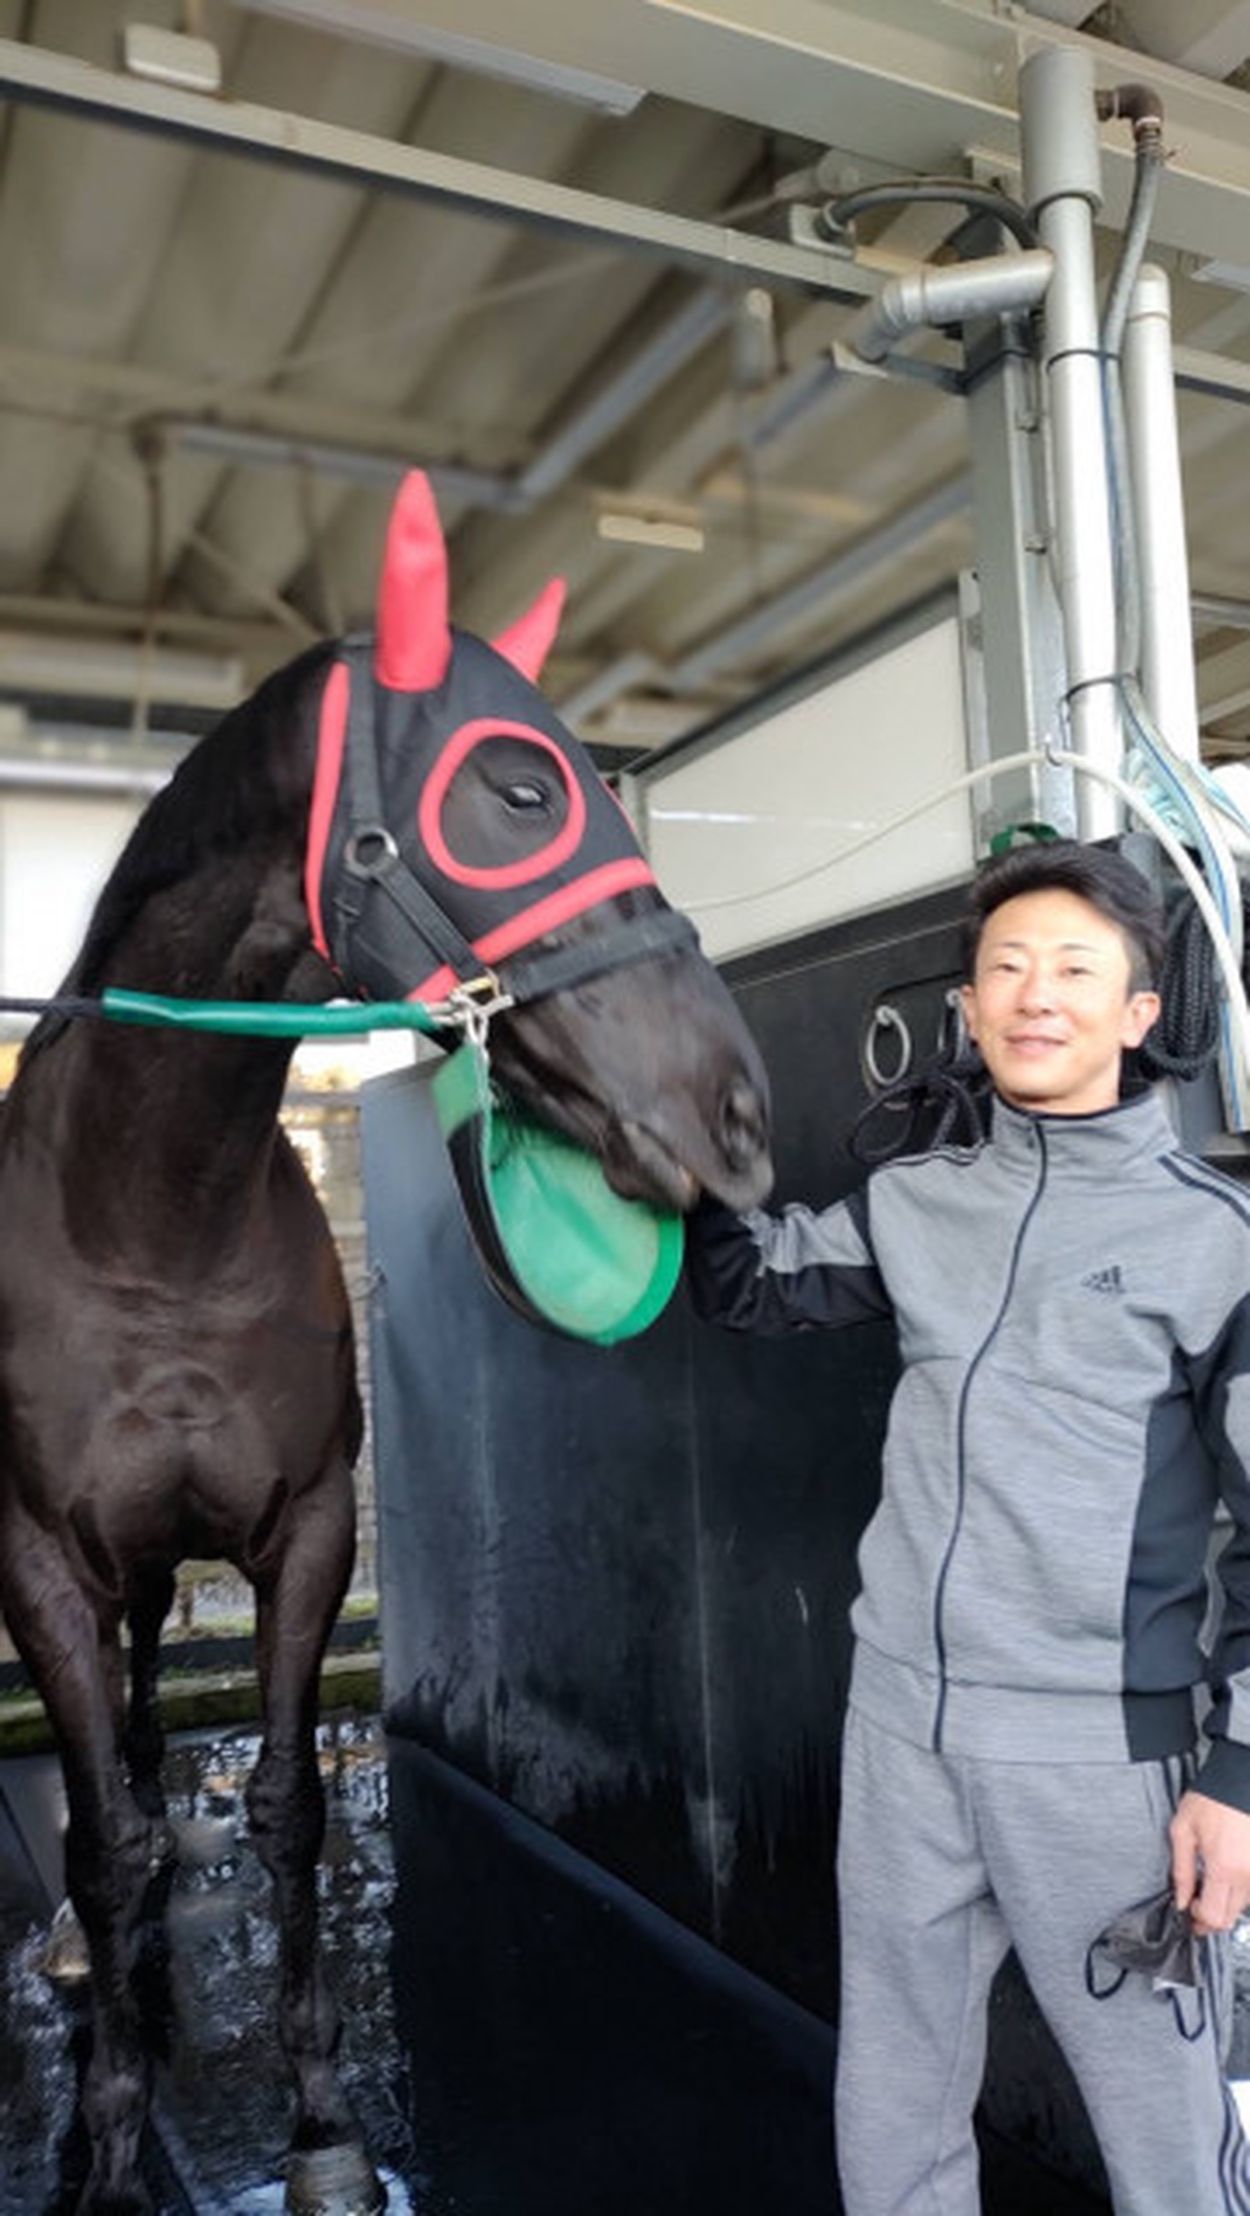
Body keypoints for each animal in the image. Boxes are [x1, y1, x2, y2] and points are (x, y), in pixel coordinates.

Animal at [0, 476, 771, 2207]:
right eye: (517, 786)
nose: (737, 1114)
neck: (150, 1220)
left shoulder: (306, 1535)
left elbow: (288, 1812)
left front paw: (319, 2116)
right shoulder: (41, 1564)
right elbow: (106, 1845)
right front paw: (108, 2133)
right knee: (112, 1794)